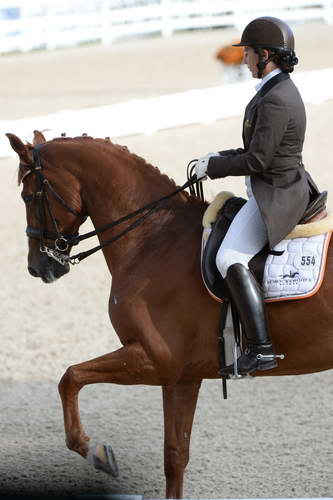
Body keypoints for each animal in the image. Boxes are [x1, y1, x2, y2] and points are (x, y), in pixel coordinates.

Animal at [6, 131, 332, 498]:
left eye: (29, 196)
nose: (37, 267)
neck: (153, 237)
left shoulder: (157, 360)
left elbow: (70, 377)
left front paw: (97, 453)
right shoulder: (182, 376)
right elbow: (175, 456)